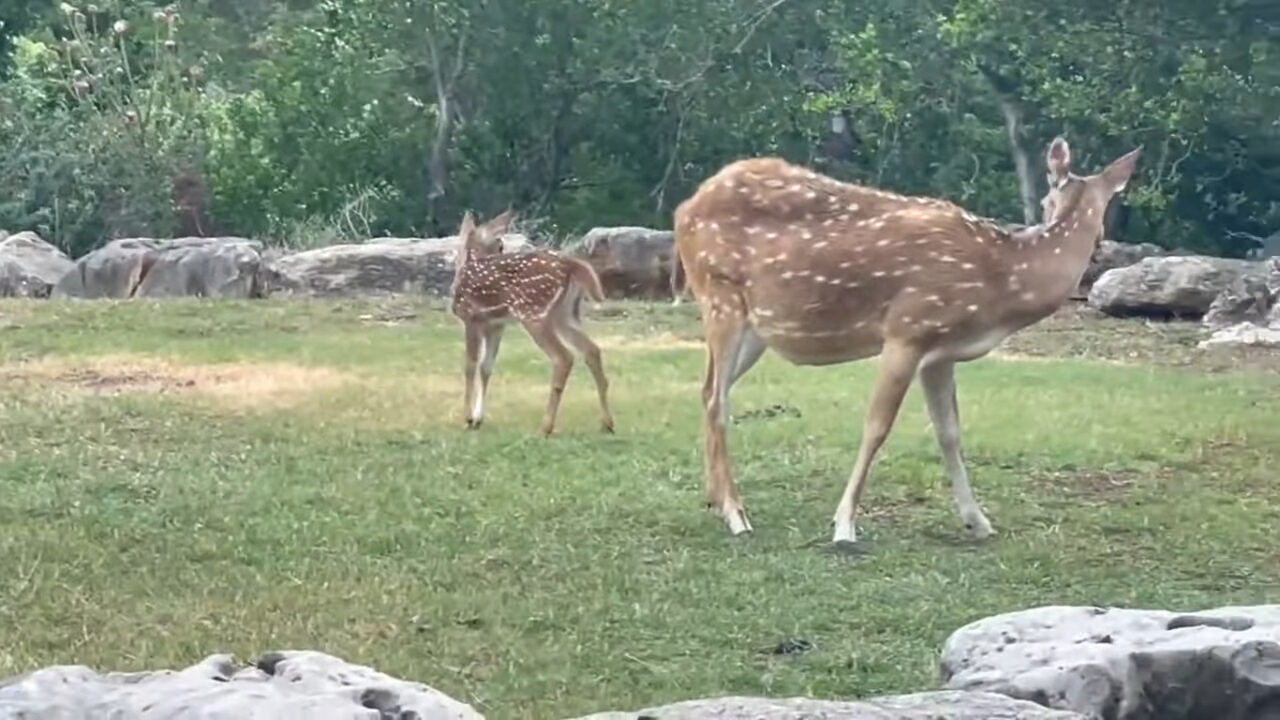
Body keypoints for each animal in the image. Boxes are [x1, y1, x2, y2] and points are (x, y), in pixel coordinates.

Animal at [450, 210, 614, 435]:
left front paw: (467, 418)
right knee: (592, 350)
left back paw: (546, 427)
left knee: (564, 357)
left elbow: (470, 365)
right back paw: (607, 423)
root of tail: (570, 265)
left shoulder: (471, 317)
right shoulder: (496, 325)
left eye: (500, 245)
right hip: (564, 314)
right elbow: (486, 367)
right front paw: (478, 419)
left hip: (534, 314)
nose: (500, 251)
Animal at [675, 134, 1146, 540]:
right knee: (717, 397)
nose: (1101, 244)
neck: (998, 283)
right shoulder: (908, 328)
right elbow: (877, 425)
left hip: (758, 327)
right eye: (1048, 199)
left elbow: (949, 432)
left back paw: (716, 500)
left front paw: (978, 521)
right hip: (720, 296)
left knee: (708, 390)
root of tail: (684, 208)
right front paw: (844, 526)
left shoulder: (941, 352)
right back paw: (736, 515)